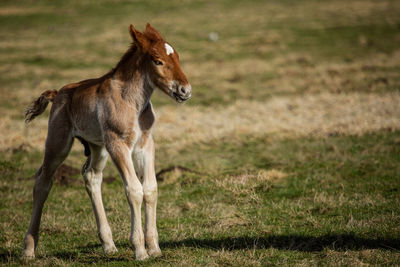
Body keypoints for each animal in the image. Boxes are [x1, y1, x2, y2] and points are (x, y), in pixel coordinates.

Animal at [23, 23, 192, 262]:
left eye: (176, 56)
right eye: (157, 61)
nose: (185, 90)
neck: (132, 102)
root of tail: (57, 93)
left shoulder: (145, 145)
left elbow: (150, 189)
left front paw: (155, 248)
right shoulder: (118, 145)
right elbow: (134, 190)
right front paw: (140, 251)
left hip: (97, 147)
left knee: (91, 176)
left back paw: (109, 245)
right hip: (58, 143)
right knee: (42, 181)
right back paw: (28, 249)